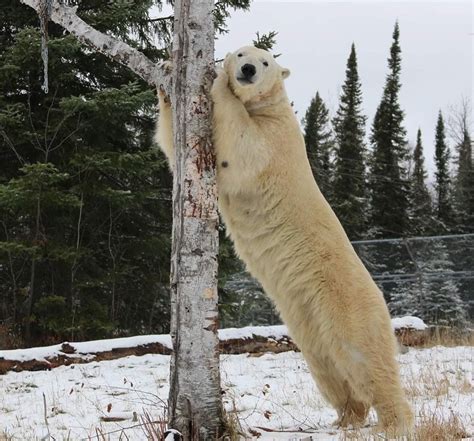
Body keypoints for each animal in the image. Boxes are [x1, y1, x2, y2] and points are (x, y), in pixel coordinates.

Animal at [156, 46, 414, 434]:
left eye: (264, 61)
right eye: (242, 53)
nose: (247, 69)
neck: (267, 107)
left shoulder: (274, 137)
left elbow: (242, 148)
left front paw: (219, 84)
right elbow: (175, 149)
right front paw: (167, 71)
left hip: (347, 308)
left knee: (365, 359)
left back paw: (396, 421)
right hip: (309, 323)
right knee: (330, 370)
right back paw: (345, 418)